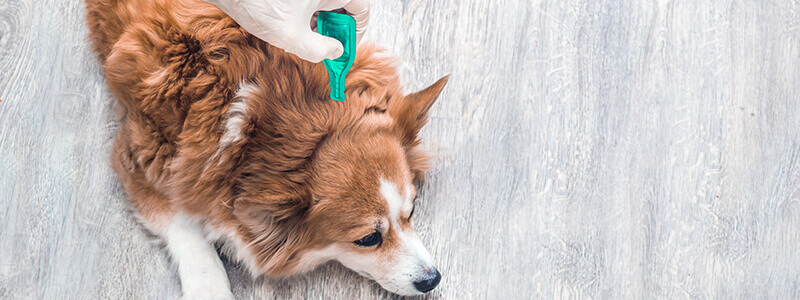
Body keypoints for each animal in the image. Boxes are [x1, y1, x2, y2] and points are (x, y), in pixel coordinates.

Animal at [87, 0, 450, 296]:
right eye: (368, 239)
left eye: (411, 212)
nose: (432, 279)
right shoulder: (138, 156)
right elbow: (185, 229)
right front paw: (210, 288)